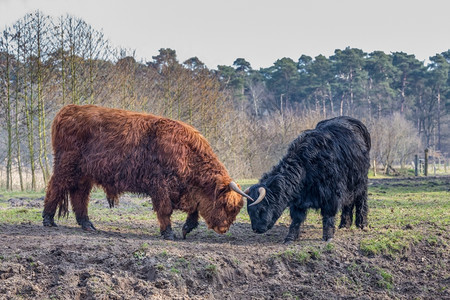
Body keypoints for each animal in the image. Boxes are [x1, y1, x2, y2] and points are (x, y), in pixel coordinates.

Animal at [43, 104, 251, 240]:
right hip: (65, 167)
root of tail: (69, 110)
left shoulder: (186, 192)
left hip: (84, 174)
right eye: (226, 205)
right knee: (55, 187)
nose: (223, 228)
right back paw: (48, 220)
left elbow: (194, 210)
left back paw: (87, 224)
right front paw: (169, 233)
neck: (187, 152)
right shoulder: (160, 187)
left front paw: (186, 229)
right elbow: (165, 210)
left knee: (79, 195)